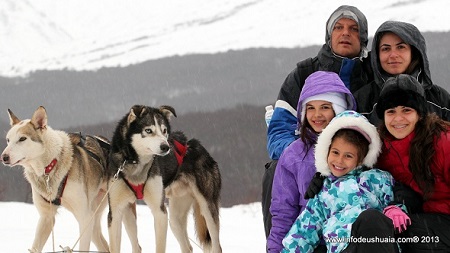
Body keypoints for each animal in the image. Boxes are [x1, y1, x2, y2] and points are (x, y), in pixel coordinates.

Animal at [0, 106, 109, 253]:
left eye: (22, 139)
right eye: (8, 140)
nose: (3, 157)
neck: (49, 167)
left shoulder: (84, 216)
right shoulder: (46, 217)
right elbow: (35, 246)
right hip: (94, 219)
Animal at [107, 105, 223, 253]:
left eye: (164, 131)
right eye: (148, 130)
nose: (166, 147)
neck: (136, 165)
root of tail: (197, 145)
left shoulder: (160, 211)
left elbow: (160, 246)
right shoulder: (115, 212)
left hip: (207, 208)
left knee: (217, 245)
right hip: (174, 219)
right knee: (187, 247)